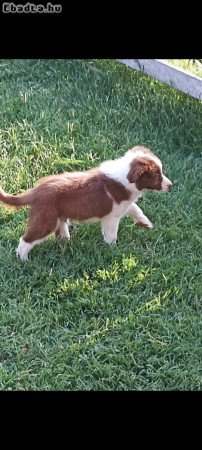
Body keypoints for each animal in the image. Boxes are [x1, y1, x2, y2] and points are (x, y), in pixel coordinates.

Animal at [0, 147, 172, 260]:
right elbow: (111, 234)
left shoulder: (124, 203)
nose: (171, 185)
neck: (124, 175)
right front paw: (112, 249)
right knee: (26, 239)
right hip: (45, 220)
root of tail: (35, 191)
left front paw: (146, 224)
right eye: (156, 176)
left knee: (61, 231)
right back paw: (23, 259)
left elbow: (136, 209)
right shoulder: (111, 217)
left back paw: (66, 243)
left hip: (57, 216)